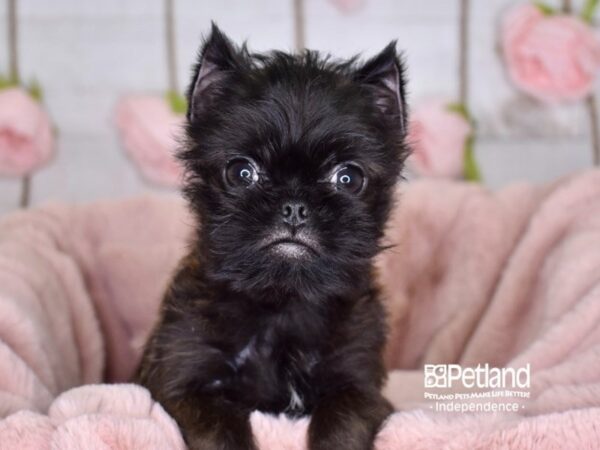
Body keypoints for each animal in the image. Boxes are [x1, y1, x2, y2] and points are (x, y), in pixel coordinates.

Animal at [137, 23, 408, 450]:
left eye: (348, 178)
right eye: (241, 173)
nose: (294, 206)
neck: (282, 306)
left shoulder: (359, 385)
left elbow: (341, 425)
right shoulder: (184, 385)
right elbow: (220, 432)